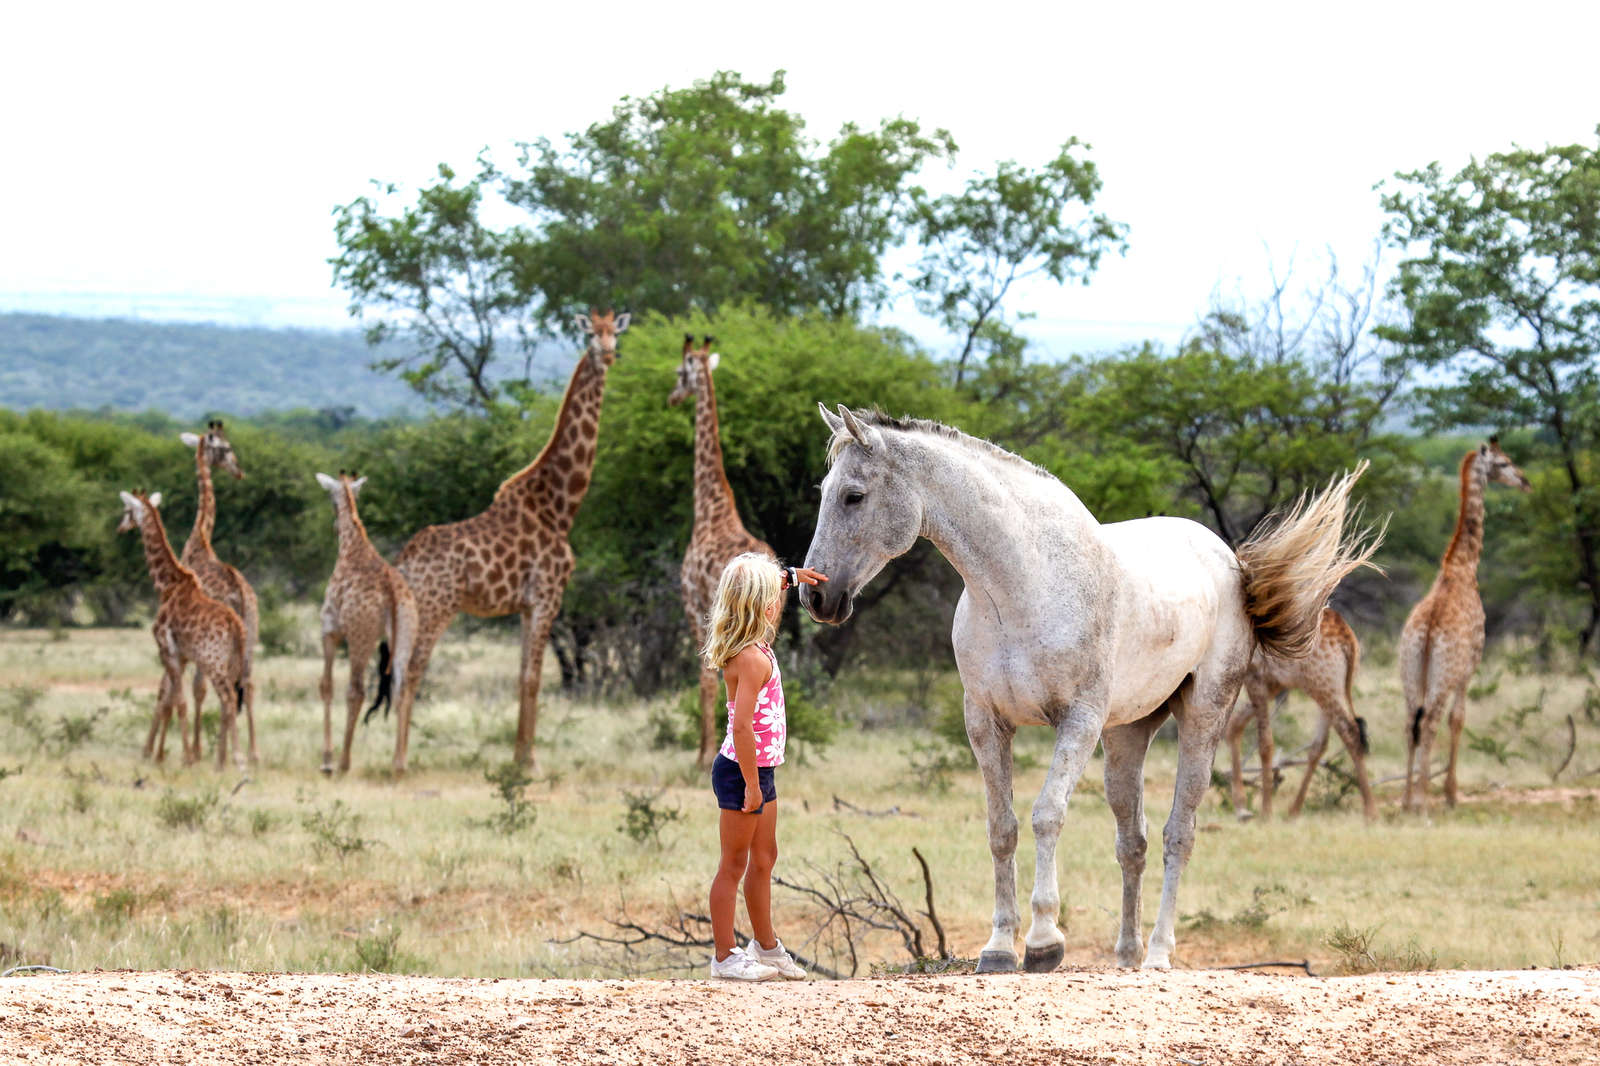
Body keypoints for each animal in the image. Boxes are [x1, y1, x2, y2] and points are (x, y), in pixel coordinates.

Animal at [799, 405, 1378, 971]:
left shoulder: (1077, 720)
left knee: (1179, 833)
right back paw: (1126, 954)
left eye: (854, 495)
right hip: (1127, 735)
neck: (1021, 586)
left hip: (1204, 716)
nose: (816, 598)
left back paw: (1159, 954)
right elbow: (1002, 827)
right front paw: (998, 947)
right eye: (824, 491)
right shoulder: (985, 722)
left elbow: (1046, 815)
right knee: (1132, 842)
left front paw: (1043, 942)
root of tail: (1232, 563)